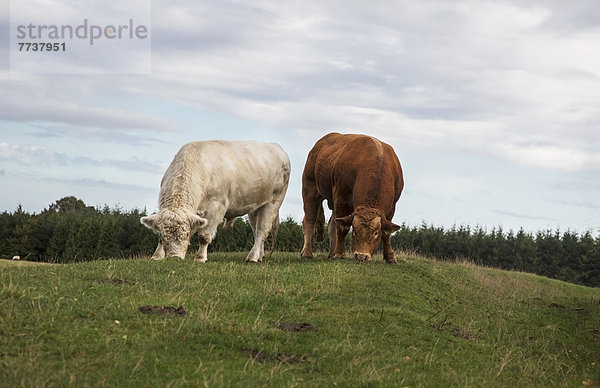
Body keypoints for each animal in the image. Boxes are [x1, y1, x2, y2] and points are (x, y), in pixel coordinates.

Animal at [141, 140, 290, 264]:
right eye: (163, 235)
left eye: (187, 233)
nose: (174, 257)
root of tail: (276, 147)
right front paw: (157, 256)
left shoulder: (216, 207)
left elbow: (204, 236)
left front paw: (200, 258)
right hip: (255, 206)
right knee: (256, 230)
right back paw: (260, 255)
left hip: (273, 202)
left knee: (261, 231)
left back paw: (252, 257)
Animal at [300, 133, 404, 264]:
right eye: (354, 230)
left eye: (376, 233)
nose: (361, 256)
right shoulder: (341, 198)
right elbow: (342, 228)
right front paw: (340, 254)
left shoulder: (392, 206)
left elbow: (387, 234)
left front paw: (390, 257)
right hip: (310, 189)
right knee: (309, 220)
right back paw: (307, 253)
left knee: (332, 224)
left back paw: (332, 253)